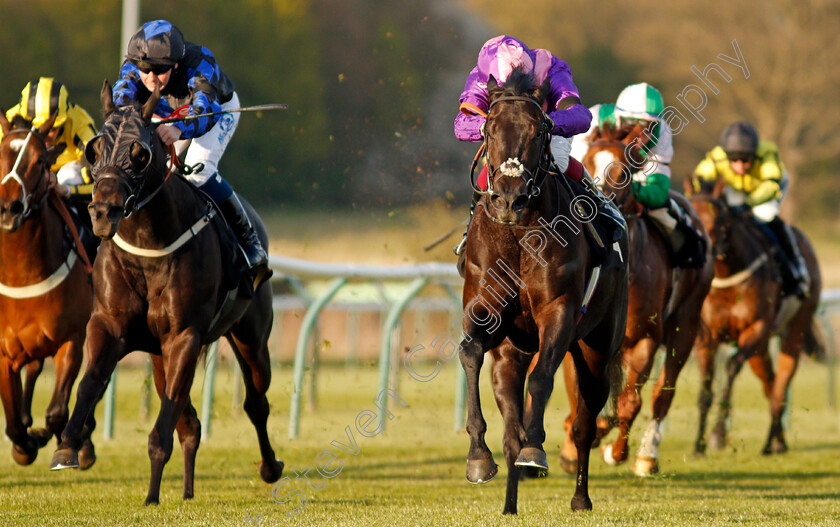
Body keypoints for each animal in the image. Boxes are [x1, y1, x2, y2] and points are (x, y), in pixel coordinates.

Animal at [0, 112, 94, 466]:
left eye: (40, 161)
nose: (9, 208)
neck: (24, 275)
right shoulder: (4, 352)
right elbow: (14, 422)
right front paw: (25, 444)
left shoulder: (72, 339)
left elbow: (57, 412)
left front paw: (73, 443)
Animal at [50, 83, 284, 508]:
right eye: (94, 149)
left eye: (140, 152)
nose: (102, 213)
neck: (149, 246)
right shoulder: (109, 325)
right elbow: (91, 383)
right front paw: (67, 448)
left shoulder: (184, 336)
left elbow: (165, 422)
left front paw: (151, 495)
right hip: (159, 354)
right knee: (190, 422)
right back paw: (188, 490)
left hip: (251, 337)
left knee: (256, 402)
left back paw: (270, 467)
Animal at [456, 70, 628, 516]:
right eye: (489, 129)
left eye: (539, 131)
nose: (510, 198)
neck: (518, 237)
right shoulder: (485, 314)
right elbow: (469, 353)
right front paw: (478, 458)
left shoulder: (558, 312)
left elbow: (543, 378)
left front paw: (536, 450)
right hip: (510, 355)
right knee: (510, 426)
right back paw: (509, 505)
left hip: (597, 345)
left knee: (585, 421)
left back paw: (581, 497)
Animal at [556, 125, 716, 478]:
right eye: (585, 163)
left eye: (623, 171)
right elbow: (578, 394)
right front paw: (573, 449)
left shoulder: (644, 338)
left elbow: (631, 402)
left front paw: (616, 451)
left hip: (685, 323)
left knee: (662, 393)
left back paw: (646, 455)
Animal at [684, 176, 824, 454]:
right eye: (692, 218)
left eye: (718, 220)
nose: (704, 254)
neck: (726, 279)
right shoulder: (706, 338)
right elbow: (706, 389)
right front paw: (698, 445)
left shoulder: (755, 328)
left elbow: (730, 368)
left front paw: (717, 435)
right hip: (760, 349)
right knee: (770, 382)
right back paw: (777, 440)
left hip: (793, 331)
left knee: (781, 384)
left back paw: (772, 441)